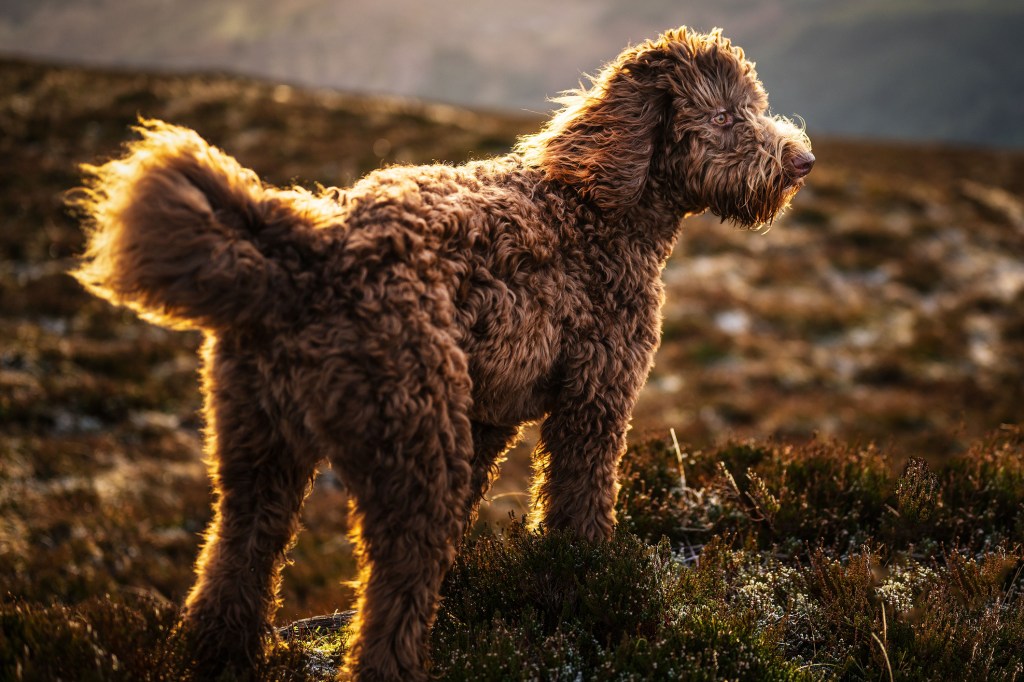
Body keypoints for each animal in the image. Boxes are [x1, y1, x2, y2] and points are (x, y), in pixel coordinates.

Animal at [68, 26, 811, 679]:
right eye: (726, 114)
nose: (802, 161)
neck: (596, 206)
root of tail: (314, 249)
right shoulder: (594, 400)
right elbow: (578, 506)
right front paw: (589, 588)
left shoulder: (485, 417)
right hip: (412, 446)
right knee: (392, 583)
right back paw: (391, 663)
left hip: (259, 446)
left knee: (238, 555)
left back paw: (219, 656)